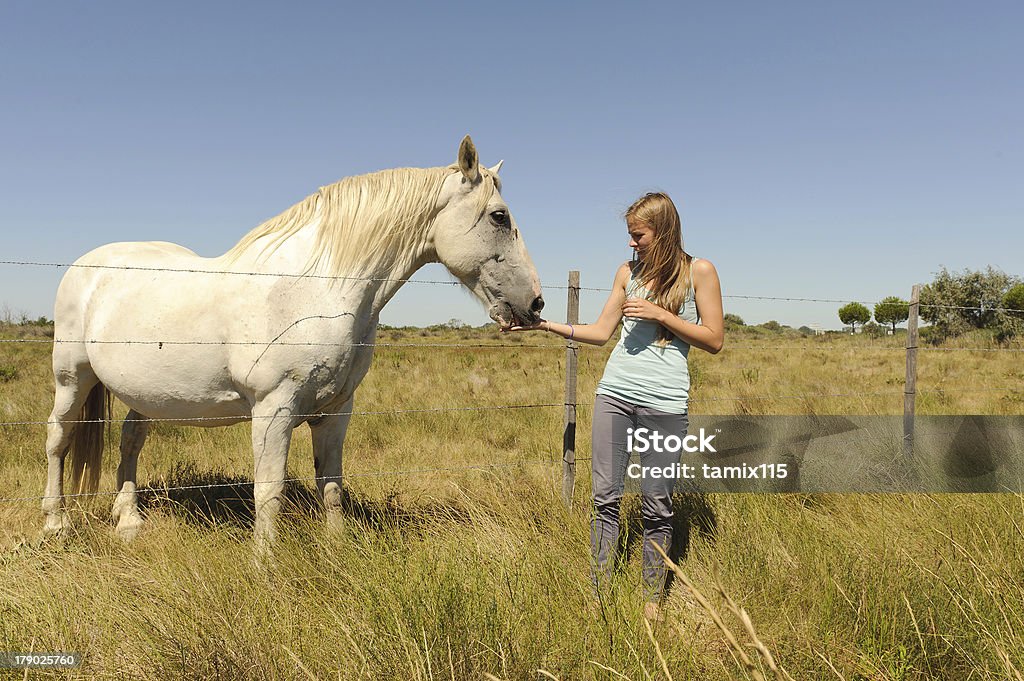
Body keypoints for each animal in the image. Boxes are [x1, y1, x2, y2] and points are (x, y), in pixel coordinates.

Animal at [43, 137, 544, 548]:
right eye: (500, 216)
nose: (535, 304)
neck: (314, 292)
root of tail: (88, 264)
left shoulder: (337, 410)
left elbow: (332, 486)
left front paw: (338, 551)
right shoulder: (273, 409)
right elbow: (269, 492)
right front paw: (265, 566)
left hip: (144, 393)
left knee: (130, 441)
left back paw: (128, 521)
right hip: (72, 378)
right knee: (59, 439)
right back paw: (56, 524)